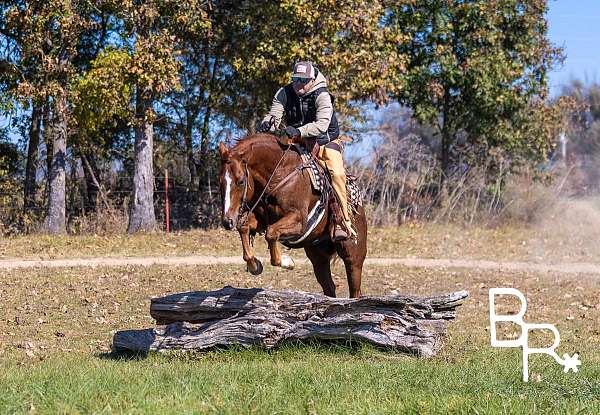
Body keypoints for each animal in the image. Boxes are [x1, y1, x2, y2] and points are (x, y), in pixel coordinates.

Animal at [216, 134, 366, 300]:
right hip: (318, 258)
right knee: (329, 287)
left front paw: (287, 261)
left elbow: (271, 233)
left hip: (353, 256)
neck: (280, 173)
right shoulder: (263, 221)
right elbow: (244, 227)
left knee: (355, 288)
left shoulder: (299, 221)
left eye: (241, 181)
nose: (227, 221)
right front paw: (255, 265)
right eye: (220, 181)